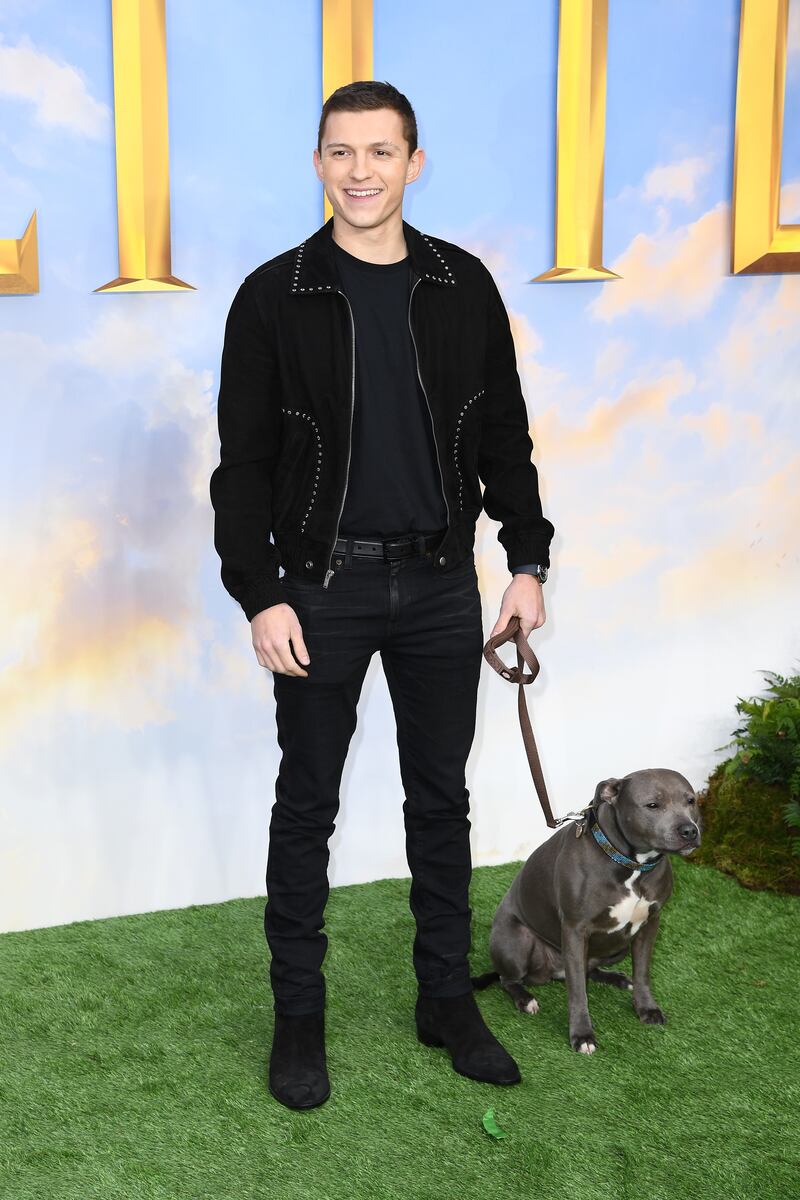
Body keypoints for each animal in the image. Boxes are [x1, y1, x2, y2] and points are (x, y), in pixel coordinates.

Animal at [472, 768, 705, 1051]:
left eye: (690, 801)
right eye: (653, 805)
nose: (689, 831)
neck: (631, 865)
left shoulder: (650, 924)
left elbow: (642, 973)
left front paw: (646, 1008)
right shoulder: (575, 930)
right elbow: (577, 993)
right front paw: (582, 1035)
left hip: (618, 945)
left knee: (590, 970)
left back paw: (617, 978)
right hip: (516, 941)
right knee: (510, 980)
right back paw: (525, 999)